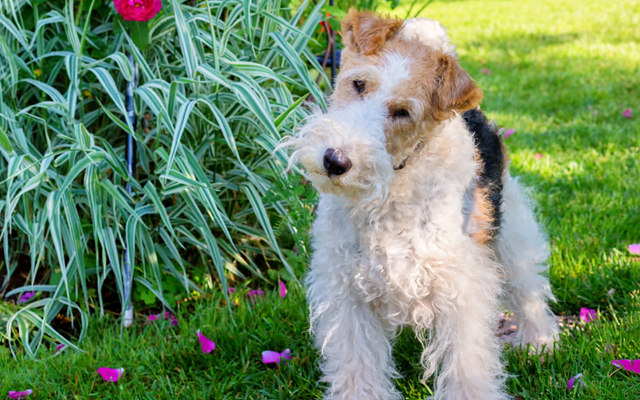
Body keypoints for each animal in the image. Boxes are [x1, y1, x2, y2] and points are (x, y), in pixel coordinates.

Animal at [282, 9, 556, 400]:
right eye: (359, 84)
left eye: (402, 111)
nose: (335, 161)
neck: (393, 187)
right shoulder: (345, 288)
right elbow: (357, 366)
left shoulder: (461, 289)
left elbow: (466, 368)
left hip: (511, 232)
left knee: (529, 289)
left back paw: (539, 343)